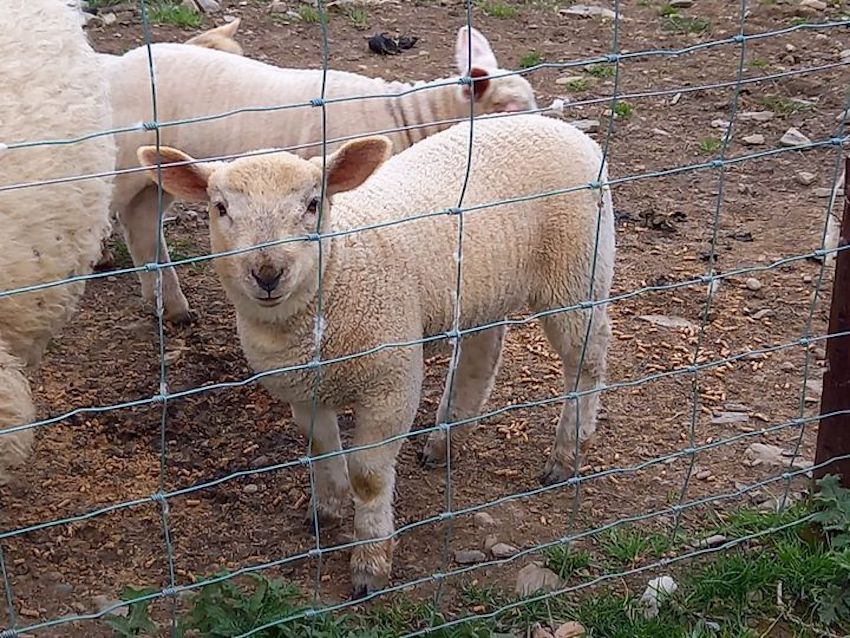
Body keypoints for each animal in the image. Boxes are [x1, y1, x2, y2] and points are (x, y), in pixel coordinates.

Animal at [111, 25, 538, 324]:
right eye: (508, 108)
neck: (409, 120)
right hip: (118, 168)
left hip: (156, 175)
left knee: (142, 225)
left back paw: (169, 306)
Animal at [137, 112, 615, 596]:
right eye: (220, 208)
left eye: (313, 204)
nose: (268, 273)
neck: (338, 270)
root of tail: (557, 124)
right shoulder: (303, 390)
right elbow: (321, 449)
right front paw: (326, 511)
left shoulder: (391, 380)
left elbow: (368, 476)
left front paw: (370, 562)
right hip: (486, 285)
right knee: (482, 352)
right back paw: (445, 440)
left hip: (578, 270)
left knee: (587, 361)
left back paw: (567, 453)